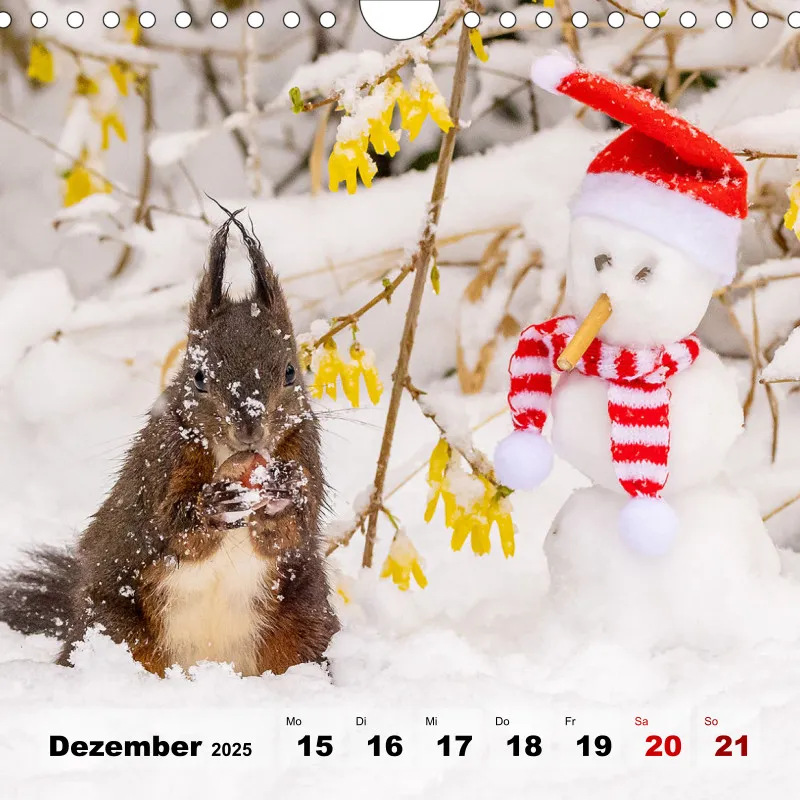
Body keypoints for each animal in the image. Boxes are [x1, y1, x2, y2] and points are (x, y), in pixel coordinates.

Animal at [0, 211, 339, 677]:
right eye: (198, 377)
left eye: (290, 372)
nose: (249, 429)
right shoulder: (164, 460)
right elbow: (174, 528)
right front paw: (212, 506)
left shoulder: (305, 449)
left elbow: (288, 532)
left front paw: (285, 491)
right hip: (109, 625)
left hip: (306, 620)